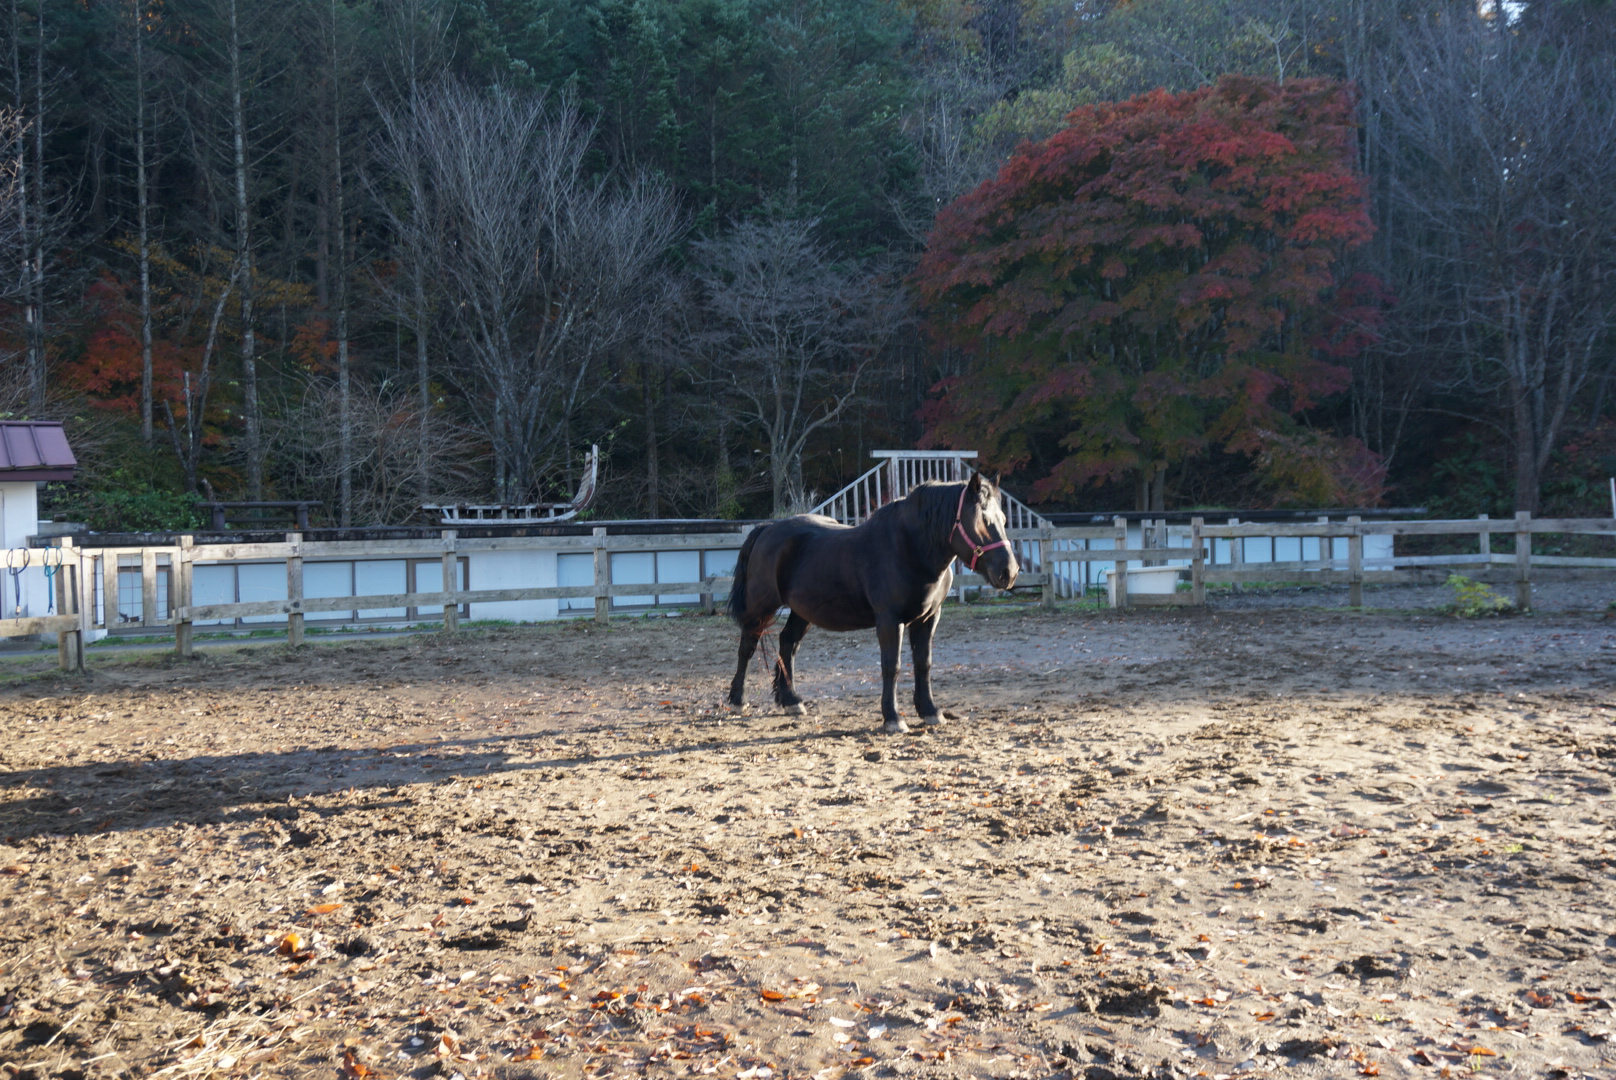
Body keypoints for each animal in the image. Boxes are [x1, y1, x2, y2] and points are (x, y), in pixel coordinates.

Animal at [727, 475, 1014, 734]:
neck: (909, 548)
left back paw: (791, 701)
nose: (1009, 572)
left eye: (1003, 520)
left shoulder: (928, 618)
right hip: (761, 606)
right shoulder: (890, 620)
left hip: (801, 611)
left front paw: (930, 711)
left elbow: (924, 664)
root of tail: (767, 528)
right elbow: (891, 667)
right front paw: (893, 719)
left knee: (788, 643)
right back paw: (737, 701)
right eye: (983, 521)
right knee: (747, 647)